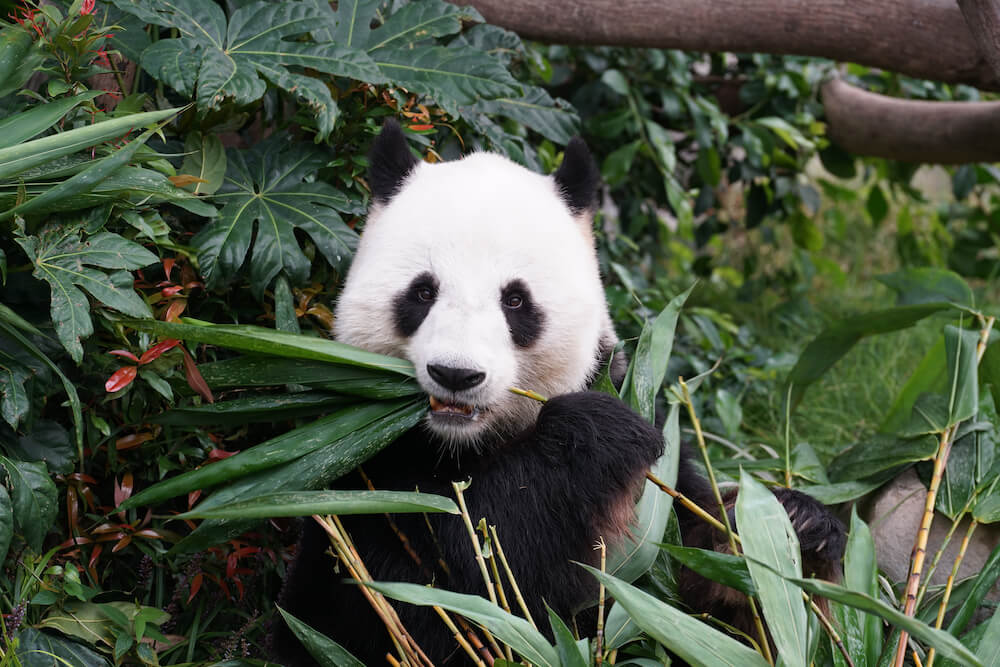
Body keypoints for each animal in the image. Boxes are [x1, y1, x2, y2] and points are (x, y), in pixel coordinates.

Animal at [272, 122, 844, 664]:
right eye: (422, 291)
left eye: (516, 301)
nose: (456, 374)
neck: (468, 440)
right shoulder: (365, 466)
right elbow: (457, 583)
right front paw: (599, 433)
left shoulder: (646, 445)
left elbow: (697, 593)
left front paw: (792, 531)